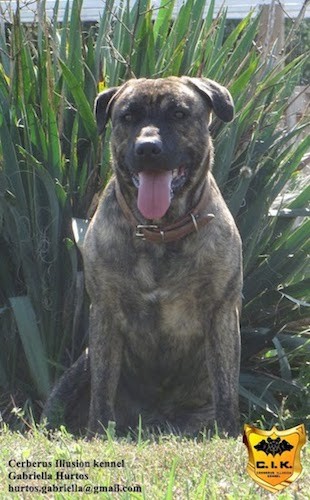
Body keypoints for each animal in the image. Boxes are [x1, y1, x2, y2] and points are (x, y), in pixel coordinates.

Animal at [42, 76, 243, 436]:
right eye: (128, 116)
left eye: (178, 113)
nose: (148, 148)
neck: (159, 231)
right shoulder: (104, 312)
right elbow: (103, 384)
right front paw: (97, 432)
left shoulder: (221, 311)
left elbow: (225, 384)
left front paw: (230, 431)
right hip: (78, 367)